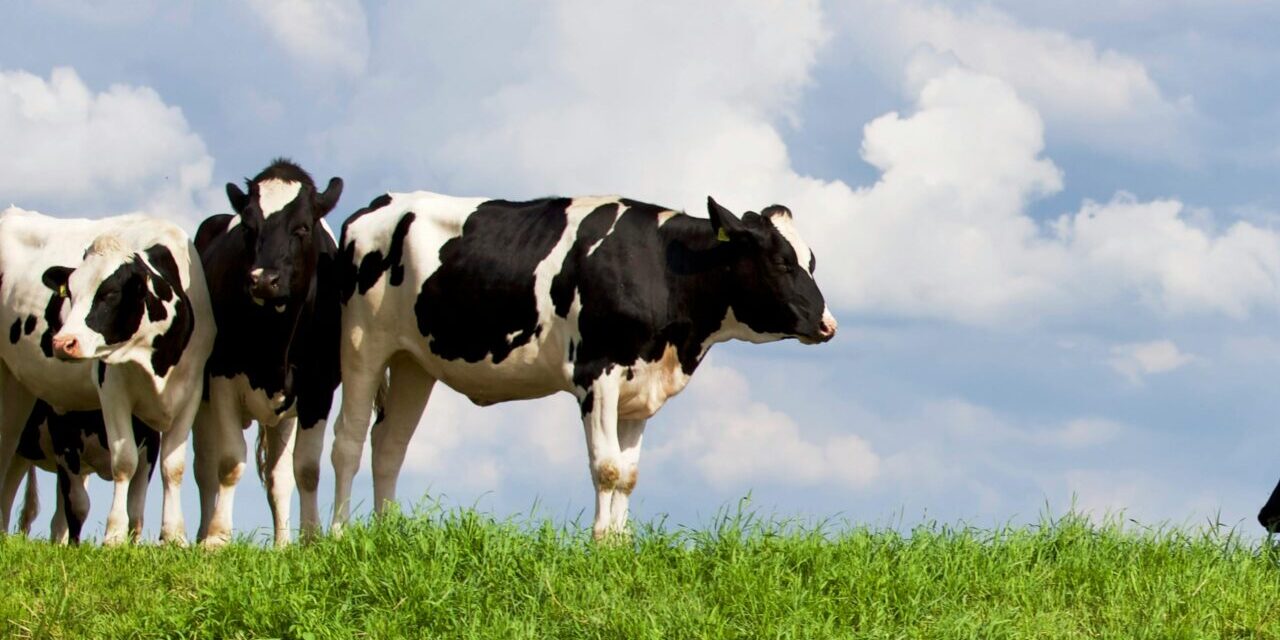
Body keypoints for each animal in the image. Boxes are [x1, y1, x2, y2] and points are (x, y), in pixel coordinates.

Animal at [192, 159, 343, 547]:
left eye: (302, 227)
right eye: (248, 226)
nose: (263, 280)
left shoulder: (318, 388)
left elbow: (306, 469)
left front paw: (308, 539)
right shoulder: (222, 379)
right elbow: (229, 462)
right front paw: (217, 538)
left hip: (283, 417)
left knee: (278, 476)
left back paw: (281, 542)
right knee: (204, 469)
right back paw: (199, 533)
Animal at [329, 193, 837, 539]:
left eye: (812, 260)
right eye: (781, 262)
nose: (827, 324)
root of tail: (381, 203)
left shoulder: (639, 386)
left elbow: (629, 475)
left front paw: (620, 545)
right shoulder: (597, 373)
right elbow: (606, 467)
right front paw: (599, 544)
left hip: (413, 362)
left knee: (390, 445)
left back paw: (386, 535)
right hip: (362, 345)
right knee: (348, 442)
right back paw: (336, 535)